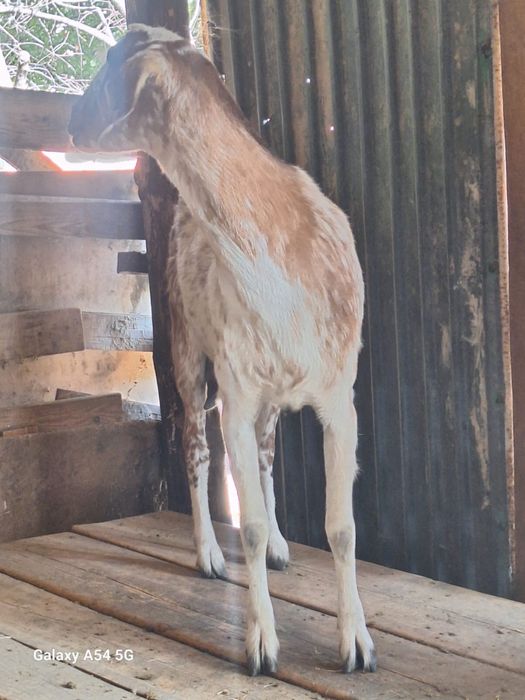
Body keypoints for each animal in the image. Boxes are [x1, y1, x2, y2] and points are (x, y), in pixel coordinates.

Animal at [68, 25, 376, 676]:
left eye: (107, 66)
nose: (69, 120)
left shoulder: (339, 394)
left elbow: (341, 527)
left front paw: (357, 644)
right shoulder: (234, 389)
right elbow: (249, 524)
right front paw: (261, 645)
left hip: (267, 391)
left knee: (262, 456)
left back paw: (283, 547)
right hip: (188, 350)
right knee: (195, 447)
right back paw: (208, 554)